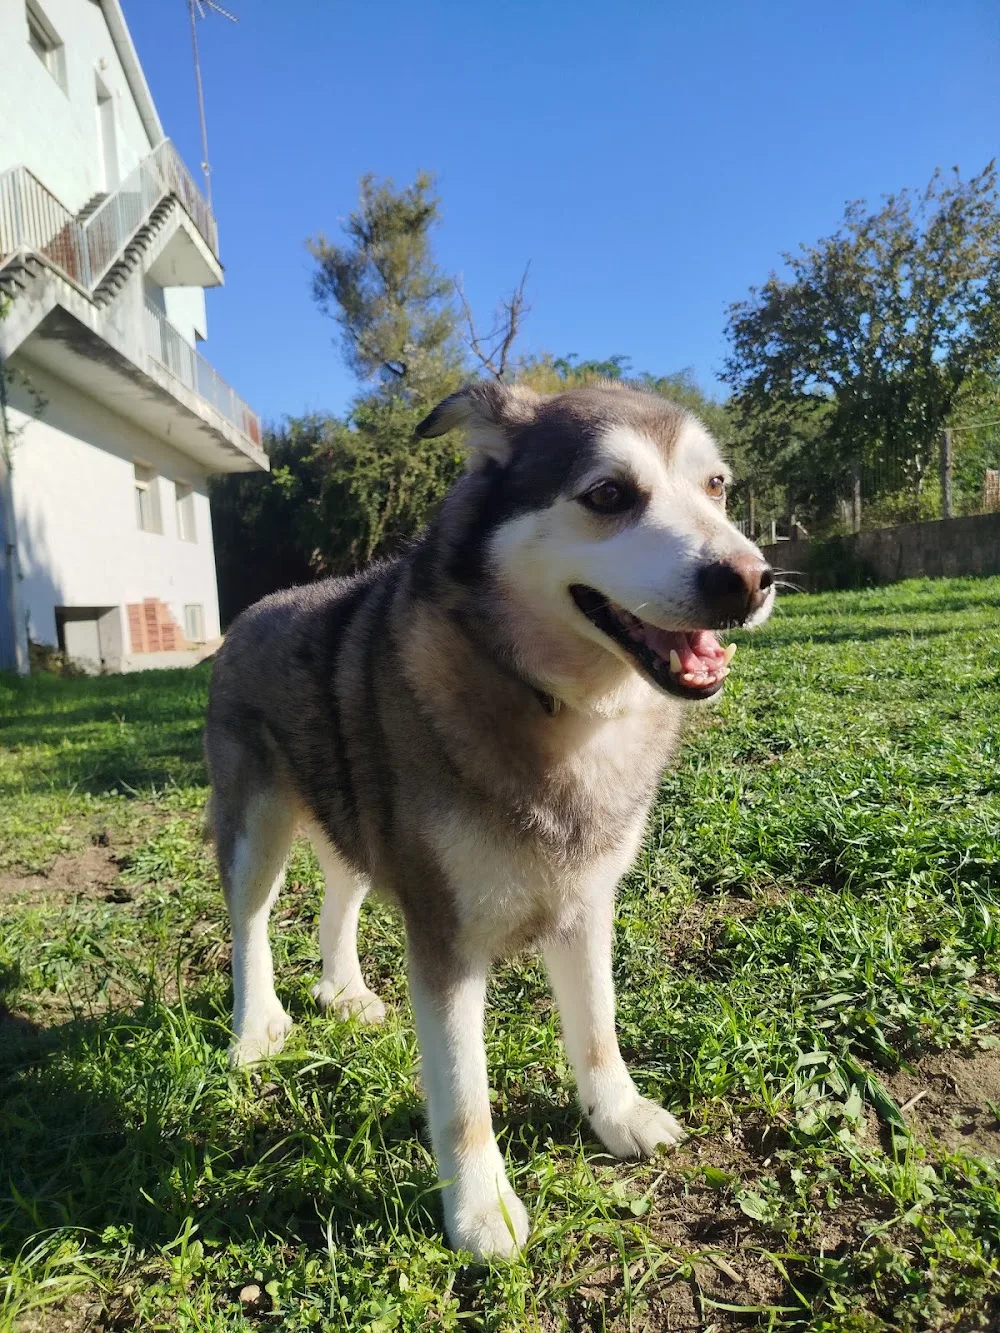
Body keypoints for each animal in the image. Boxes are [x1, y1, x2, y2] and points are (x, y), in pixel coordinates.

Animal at [204, 379, 775, 1259]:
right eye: (609, 494)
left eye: (716, 486)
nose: (749, 579)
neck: (556, 703)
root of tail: (252, 608)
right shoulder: (445, 938)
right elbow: (464, 1093)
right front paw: (480, 1210)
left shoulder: (585, 900)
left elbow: (598, 1024)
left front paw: (617, 1114)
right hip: (256, 823)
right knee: (251, 922)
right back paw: (256, 1027)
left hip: (355, 811)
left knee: (341, 891)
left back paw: (344, 990)